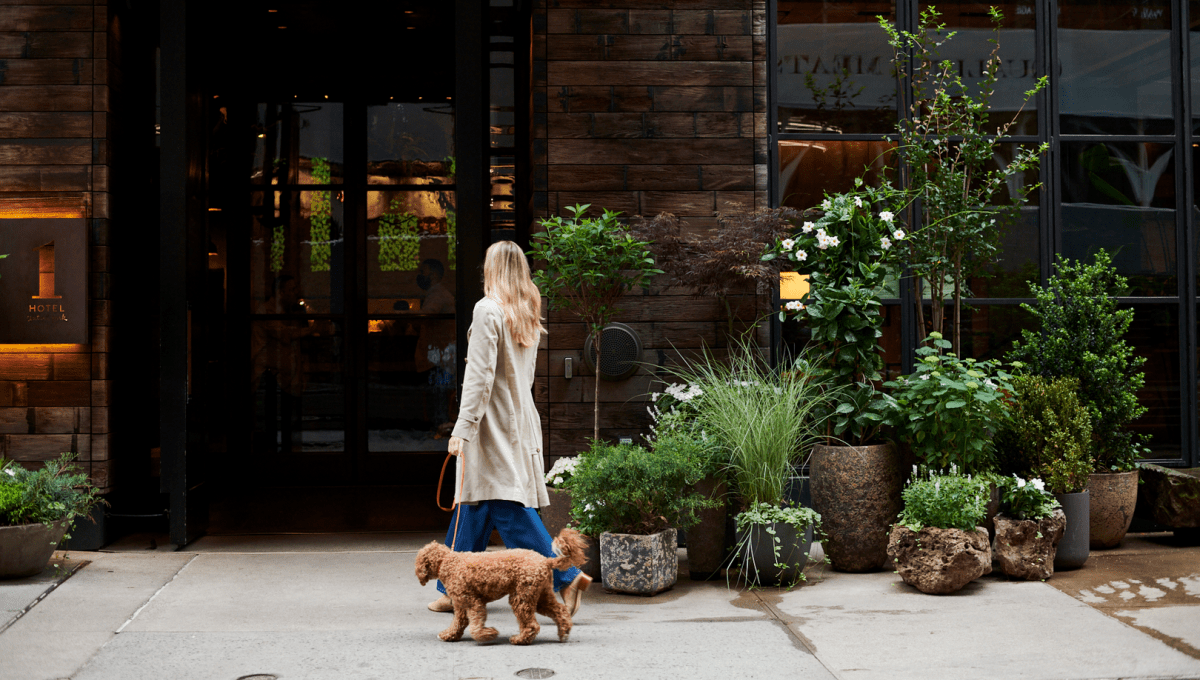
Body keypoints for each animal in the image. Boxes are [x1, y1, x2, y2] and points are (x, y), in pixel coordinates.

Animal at [417, 530, 590, 647]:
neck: (448, 561)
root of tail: (546, 560)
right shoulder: (461, 604)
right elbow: (458, 622)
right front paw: (450, 635)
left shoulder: (473, 602)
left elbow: (475, 625)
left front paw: (488, 634)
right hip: (541, 595)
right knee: (560, 611)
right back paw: (564, 632)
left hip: (522, 596)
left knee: (532, 625)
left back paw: (520, 639)